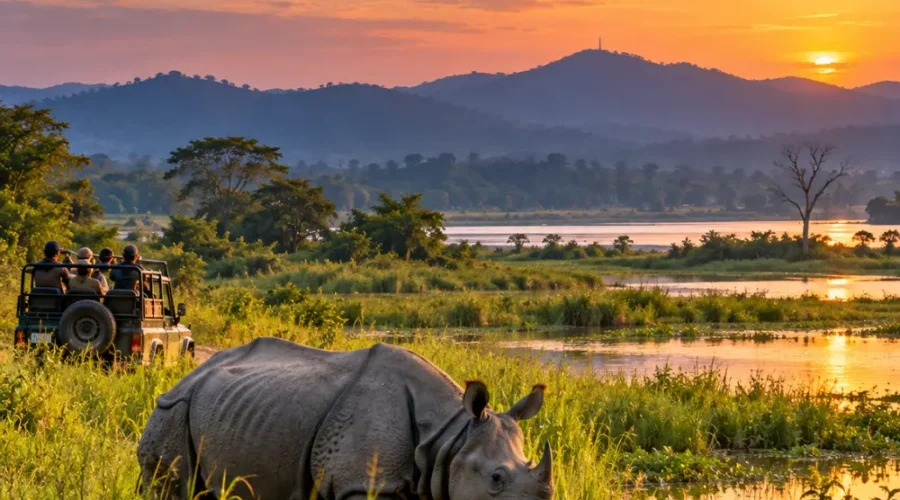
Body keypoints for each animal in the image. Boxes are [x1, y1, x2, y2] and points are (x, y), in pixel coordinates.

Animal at [137, 337, 554, 499]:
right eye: (496, 479)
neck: (449, 435)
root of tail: (187, 374)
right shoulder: (363, 482)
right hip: (173, 409)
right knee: (173, 485)